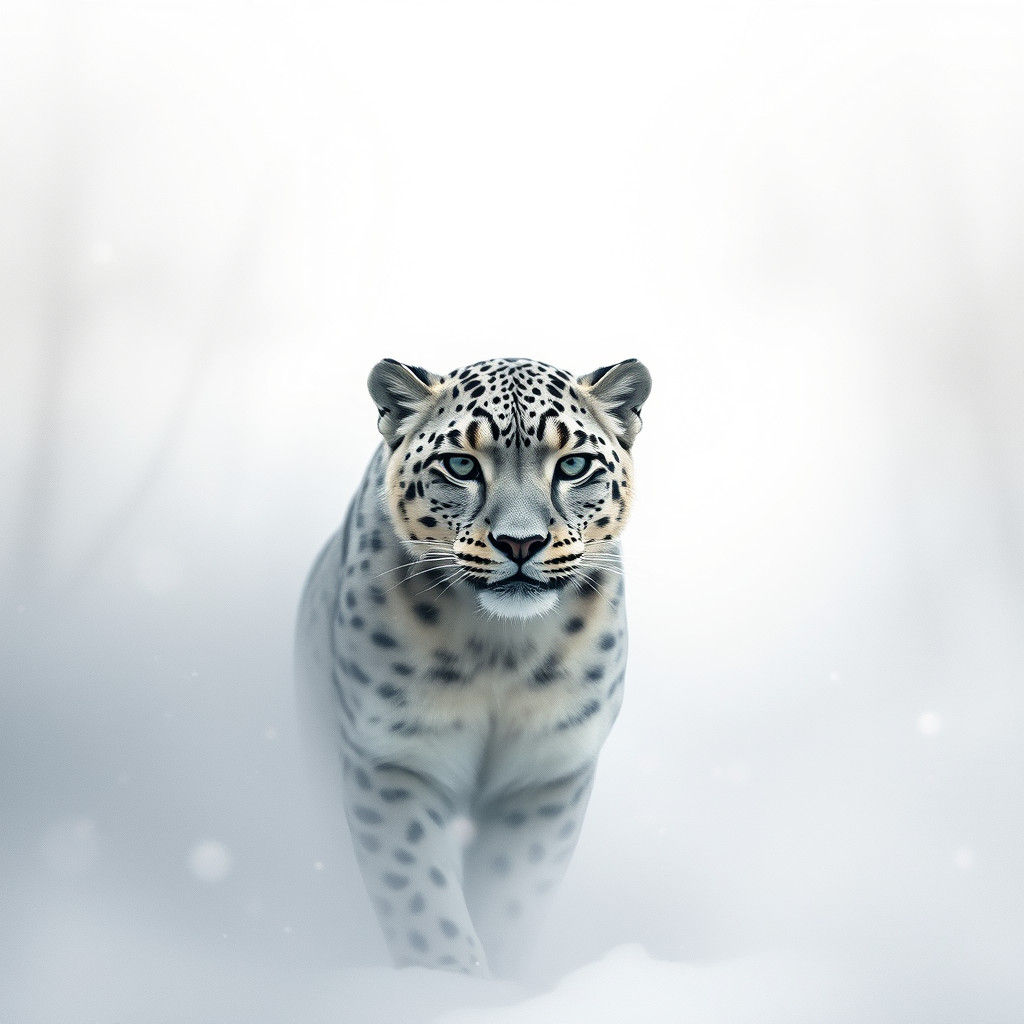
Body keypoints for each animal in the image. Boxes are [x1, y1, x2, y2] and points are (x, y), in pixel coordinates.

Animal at [294, 355, 651, 978]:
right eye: (461, 464)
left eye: (573, 464)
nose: (520, 543)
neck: (501, 652)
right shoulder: (395, 758)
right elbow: (420, 898)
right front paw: (451, 982)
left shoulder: (548, 768)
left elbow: (514, 895)